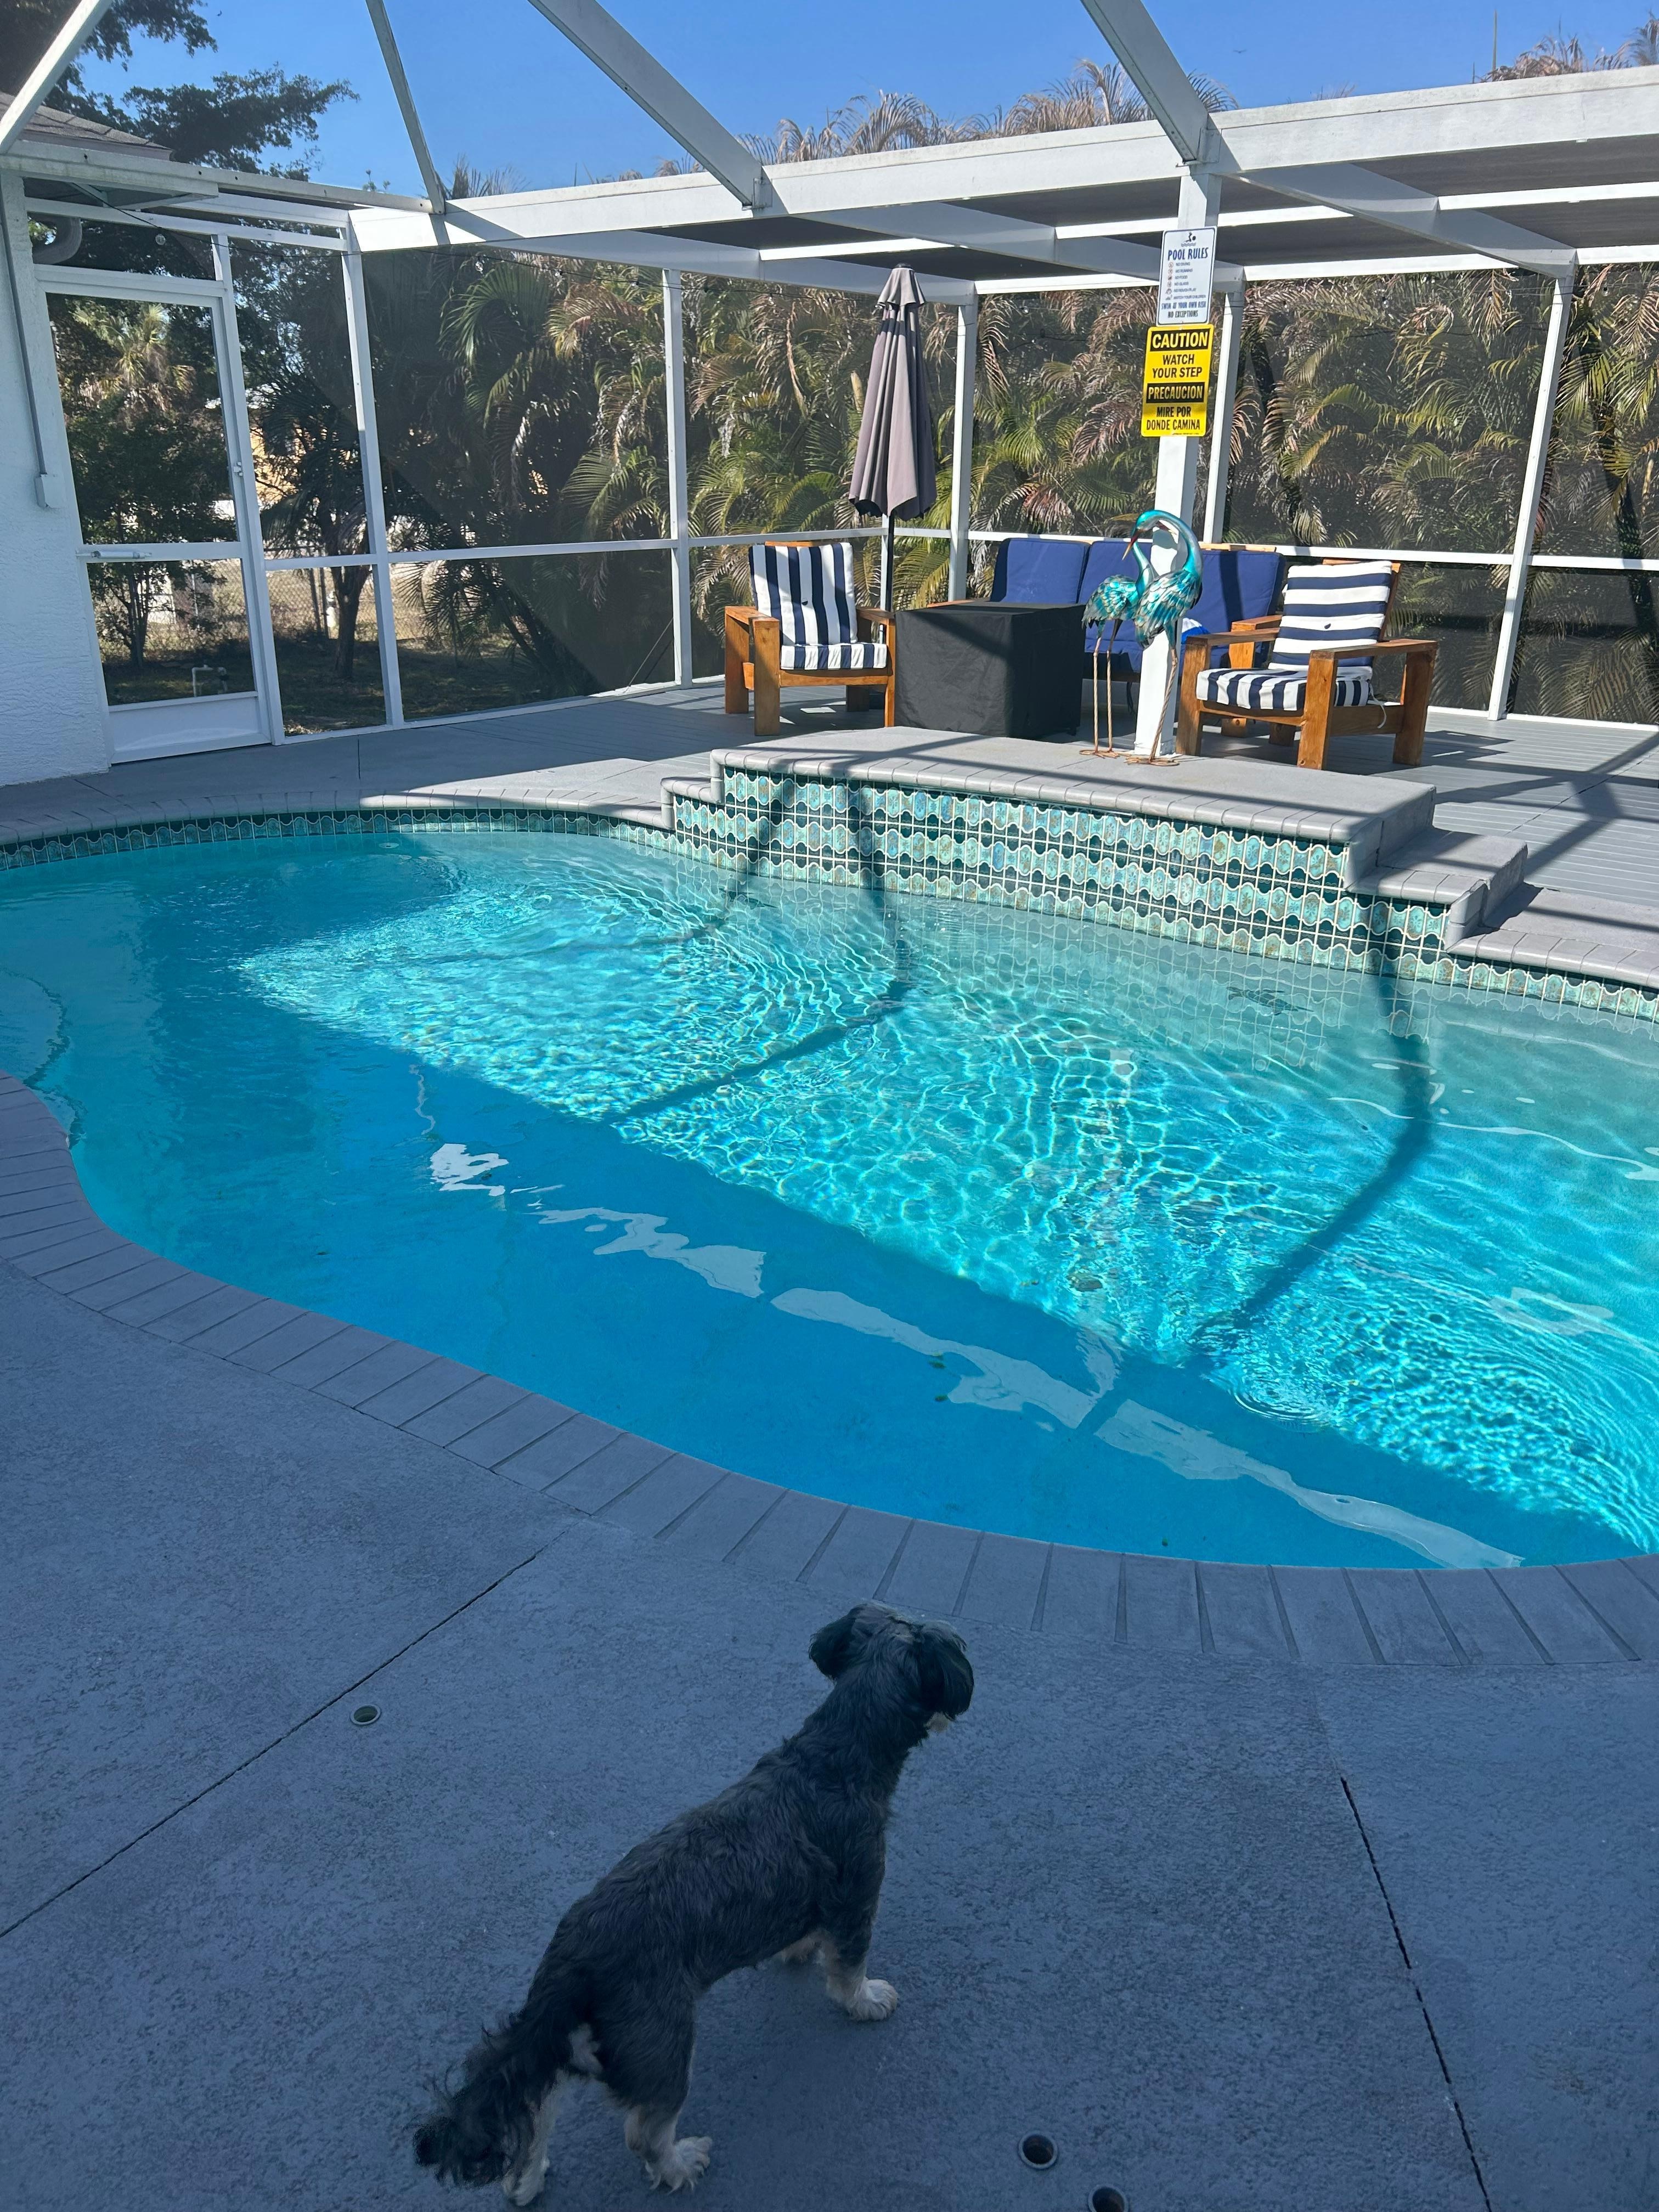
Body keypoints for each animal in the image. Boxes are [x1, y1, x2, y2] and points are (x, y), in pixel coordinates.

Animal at [413, 1602, 973, 2202]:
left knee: (539, 2105)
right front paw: (866, 1999)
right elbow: (848, 1969)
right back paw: (679, 2163)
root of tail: (572, 1960)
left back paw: (526, 2178)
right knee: (643, 2131)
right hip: (665, 2048)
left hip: (573, 2044)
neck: (832, 1759)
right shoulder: (858, 1899)